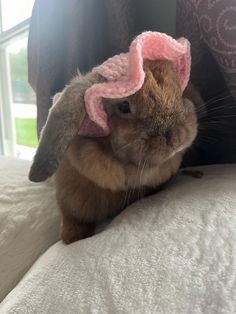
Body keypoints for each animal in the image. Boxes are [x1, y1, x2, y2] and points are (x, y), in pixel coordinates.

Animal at [29, 60, 203, 244]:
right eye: (124, 106)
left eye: (179, 91)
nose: (178, 137)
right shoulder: (69, 200)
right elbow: (72, 219)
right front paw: (73, 237)